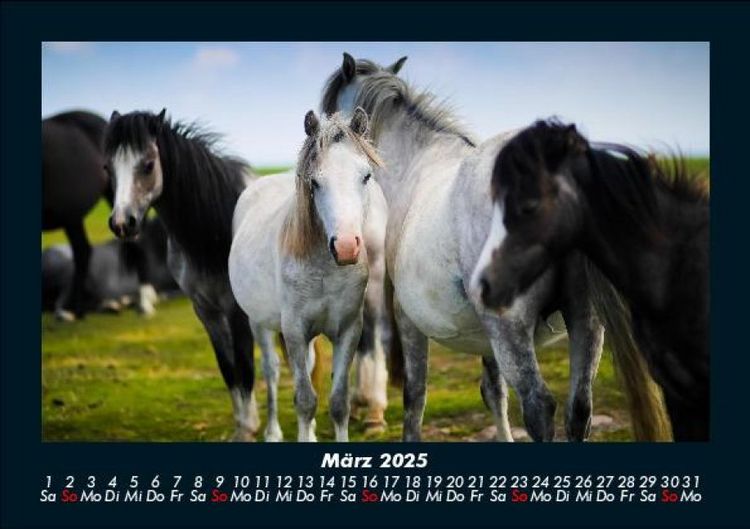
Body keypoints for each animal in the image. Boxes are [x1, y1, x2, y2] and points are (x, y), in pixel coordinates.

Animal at [104, 109, 260, 441]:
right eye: (107, 167)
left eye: (148, 164)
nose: (123, 223)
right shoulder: (206, 312)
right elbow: (229, 369)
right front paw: (242, 426)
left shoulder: (237, 312)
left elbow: (245, 368)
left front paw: (249, 429)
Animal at [229, 109, 387, 442]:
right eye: (314, 182)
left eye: (366, 176)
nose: (346, 247)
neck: (325, 270)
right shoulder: (294, 331)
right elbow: (304, 400)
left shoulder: (348, 330)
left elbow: (338, 402)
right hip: (259, 323)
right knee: (272, 371)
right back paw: (273, 432)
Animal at [320, 53, 630, 442]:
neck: (418, 161)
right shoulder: (486, 337)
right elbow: (494, 392)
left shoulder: (408, 319)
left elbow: (414, 397)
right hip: (584, 321)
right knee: (579, 410)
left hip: (511, 328)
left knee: (539, 407)